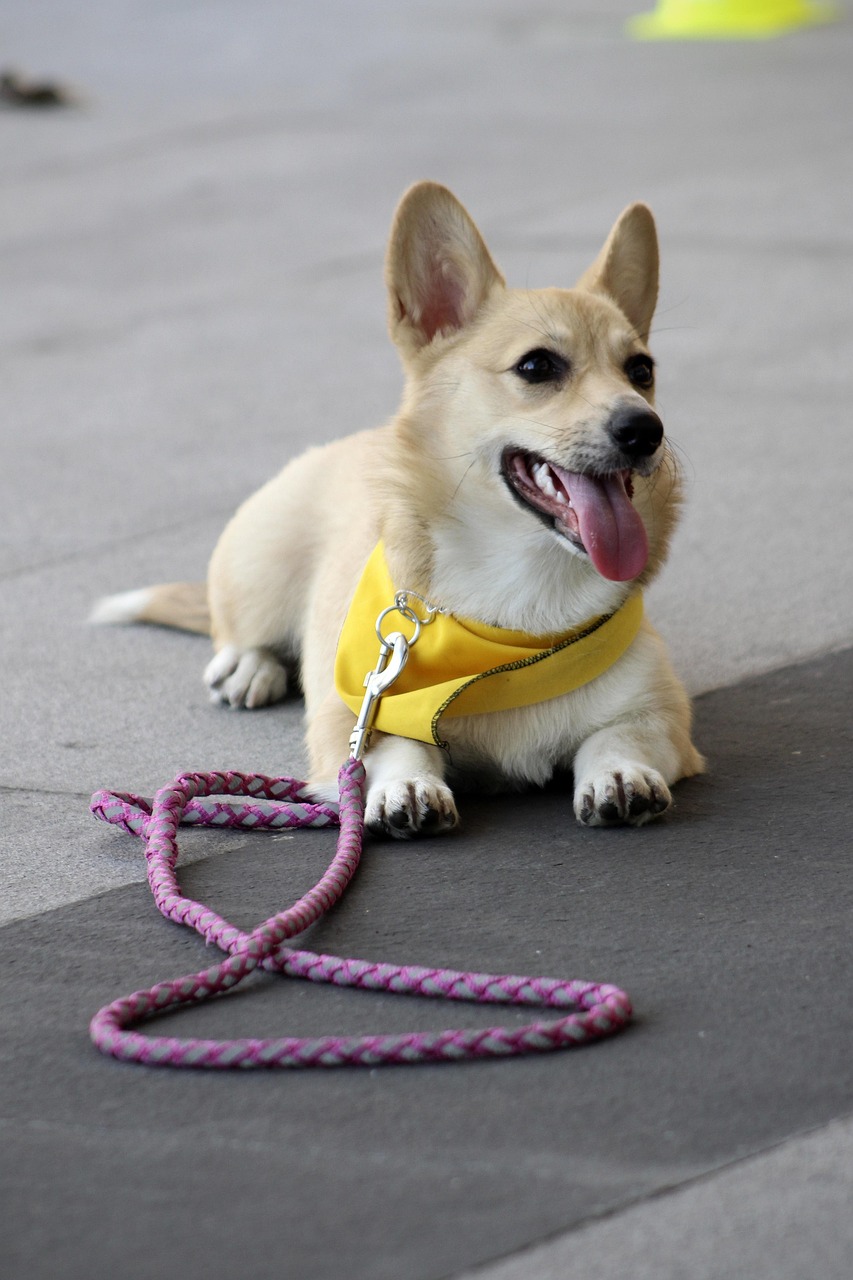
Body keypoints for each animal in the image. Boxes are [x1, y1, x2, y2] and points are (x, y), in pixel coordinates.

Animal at [94, 183, 701, 839]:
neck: (523, 604)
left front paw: (620, 775)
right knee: (237, 630)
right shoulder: (354, 712)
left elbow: (620, 735)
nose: (645, 429)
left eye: (641, 370)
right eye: (537, 366)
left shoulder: (659, 712)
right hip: (259, 566)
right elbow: (389, 747)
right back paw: (249, 668)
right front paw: (407, 786)